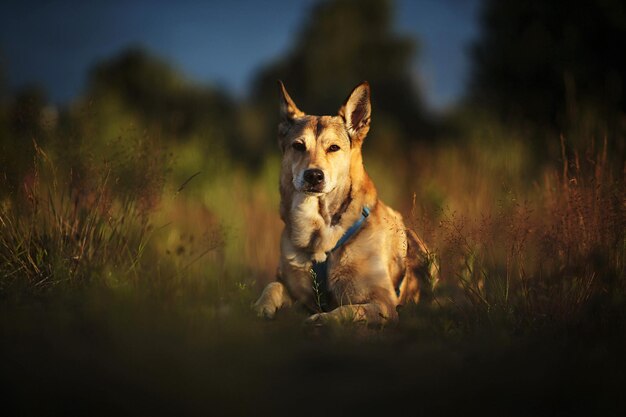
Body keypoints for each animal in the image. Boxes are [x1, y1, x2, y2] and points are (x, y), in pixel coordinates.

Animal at [251, 79, 436, 324]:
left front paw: (323, 318)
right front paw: (261, 307)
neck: (320, 236)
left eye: (333, 148)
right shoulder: (297, 293)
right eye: (298, 146)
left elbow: (349, 310)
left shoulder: (384, 303)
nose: (314, 176)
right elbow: (273, 286)